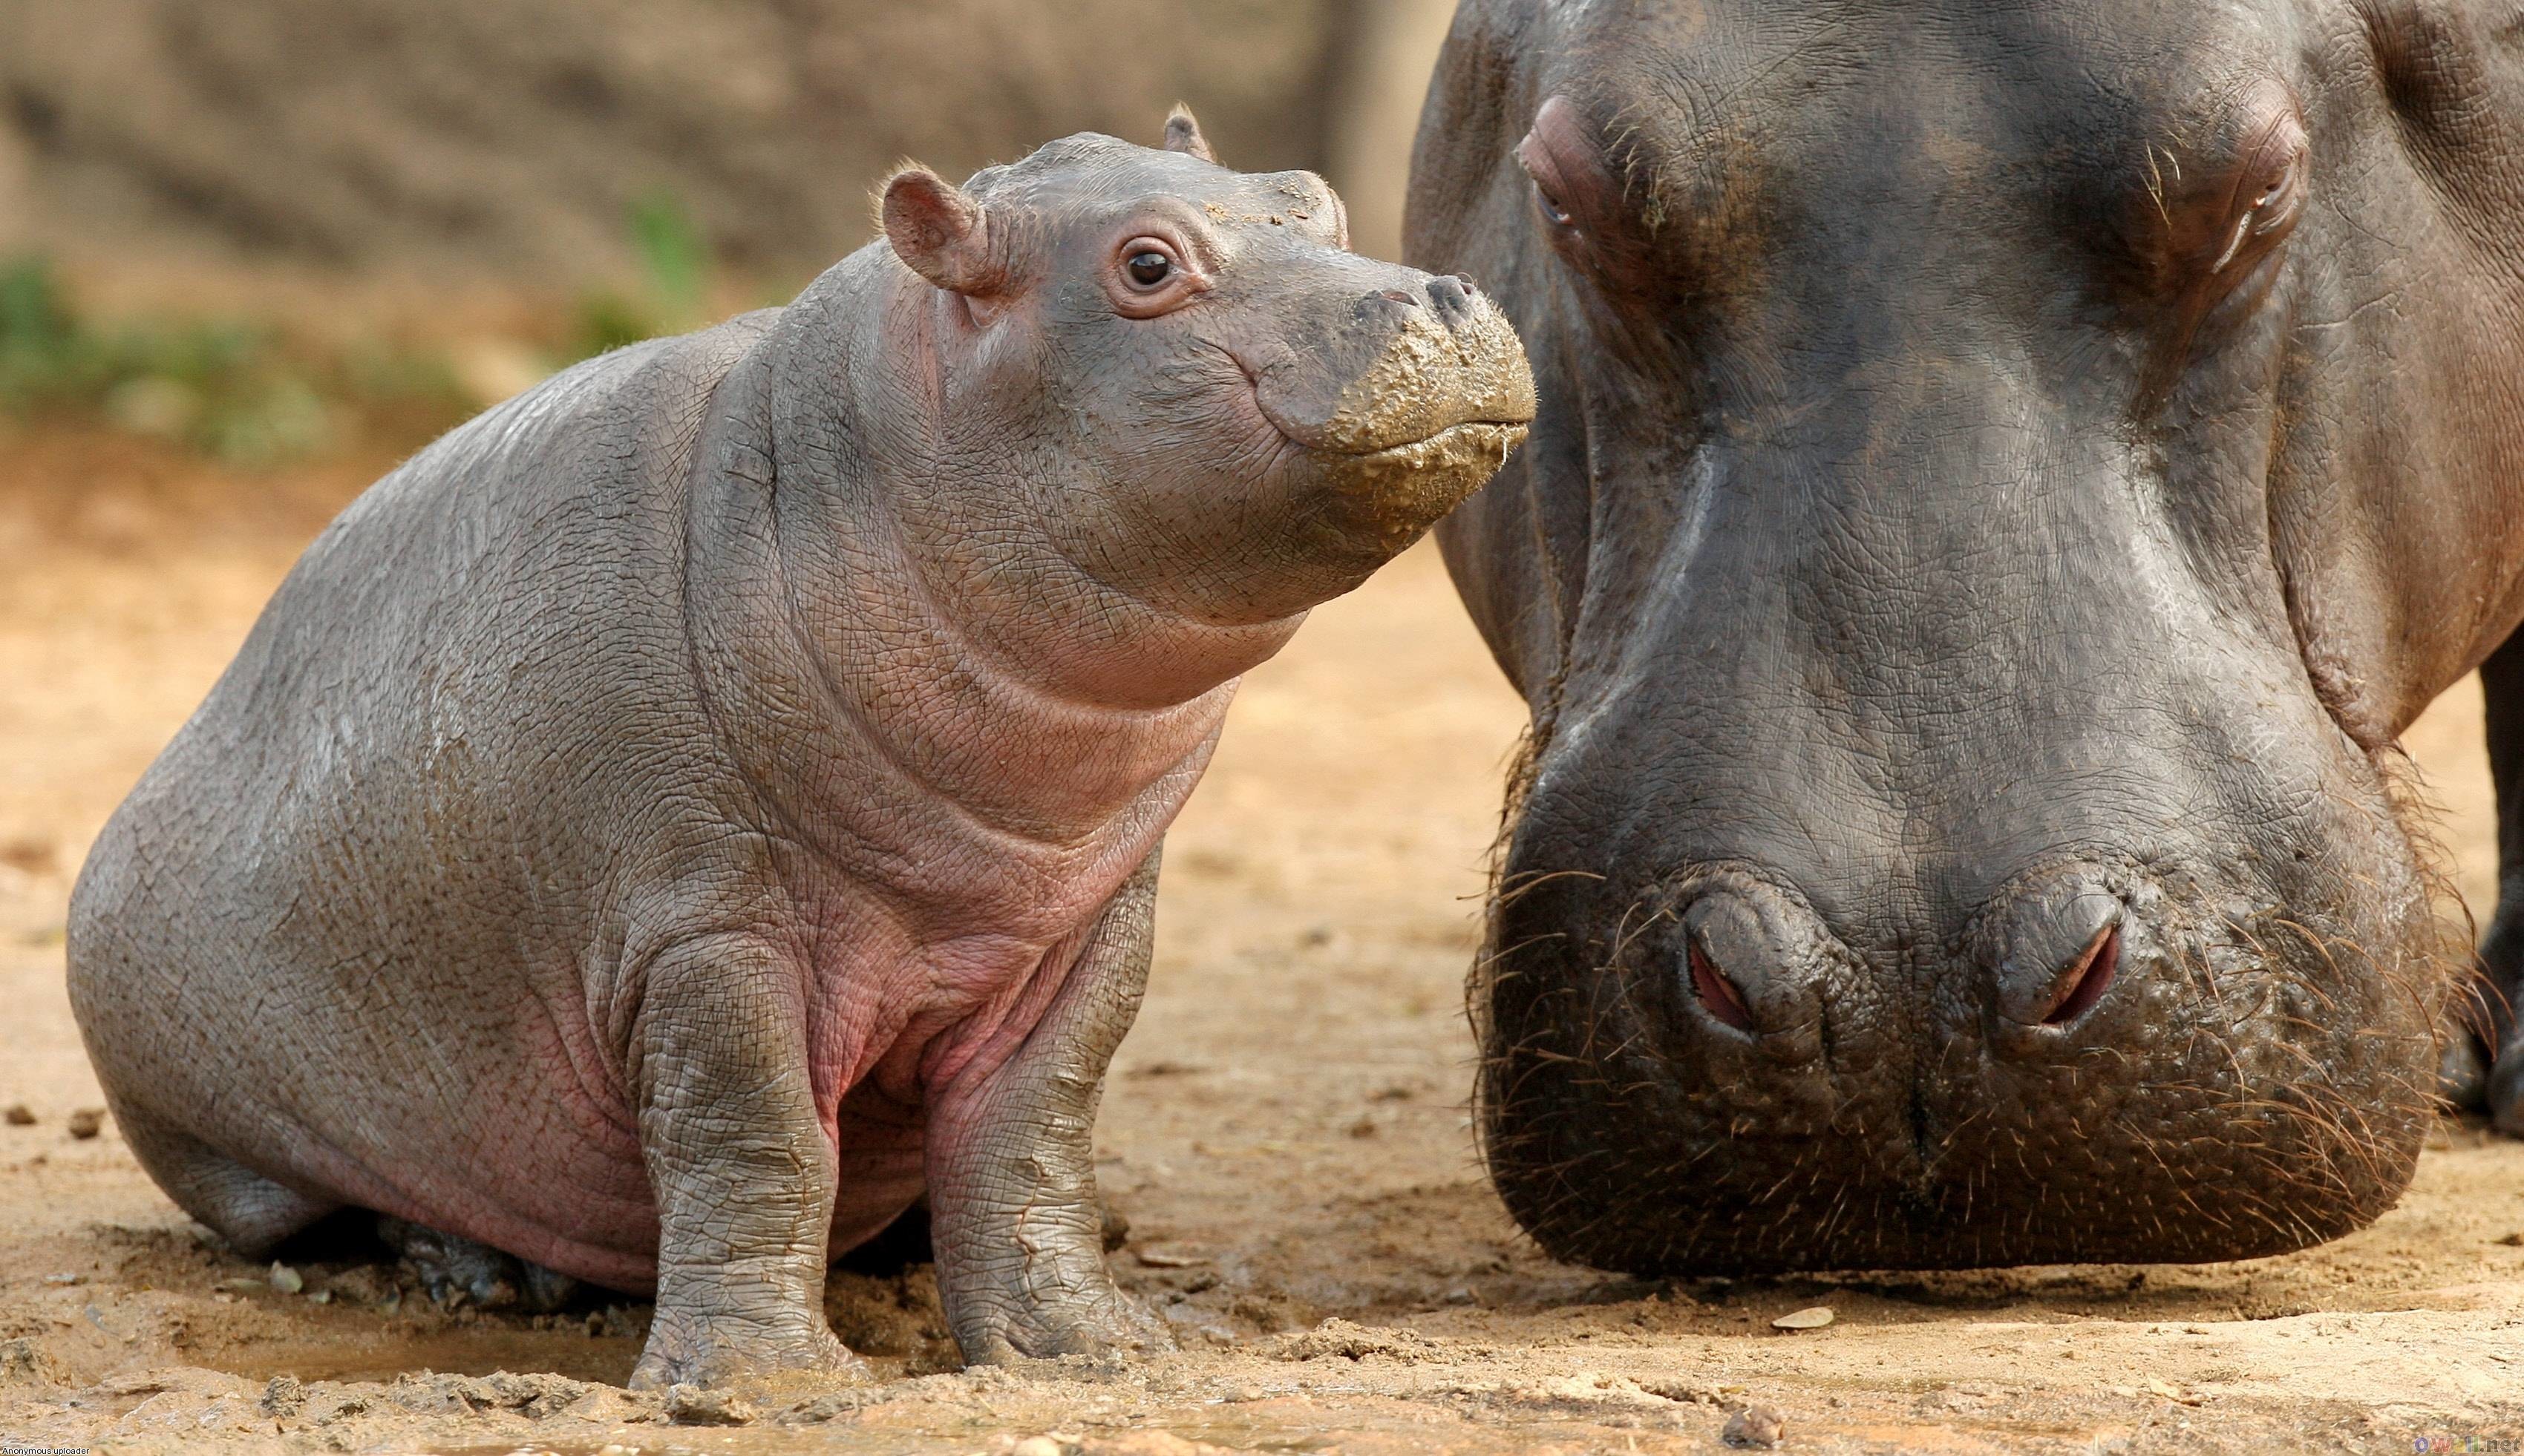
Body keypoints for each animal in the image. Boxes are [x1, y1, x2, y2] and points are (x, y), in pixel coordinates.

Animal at [67, 112, 1533, 1385]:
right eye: (1147, 264)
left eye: (1319, 199)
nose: (1442, 297)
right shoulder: (700, 924)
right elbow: (754, 1132)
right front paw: (762, 1381)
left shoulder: (1089, 923)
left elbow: (1037, 1132)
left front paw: (1089, 1347)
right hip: (229, 1124)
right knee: (334, 1208)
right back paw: (482, 1275)